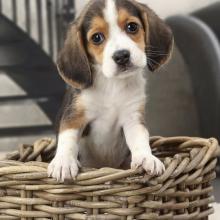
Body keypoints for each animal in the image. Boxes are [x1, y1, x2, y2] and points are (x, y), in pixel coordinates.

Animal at [48, 0, 174, 182]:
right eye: (97, 38)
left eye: (132, 27)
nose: (121, 56)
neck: (112, 84)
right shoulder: (74, 116)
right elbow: (68, 139)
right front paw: (63, 162)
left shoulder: (132, 118)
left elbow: (140, 139)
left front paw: (146, 158)